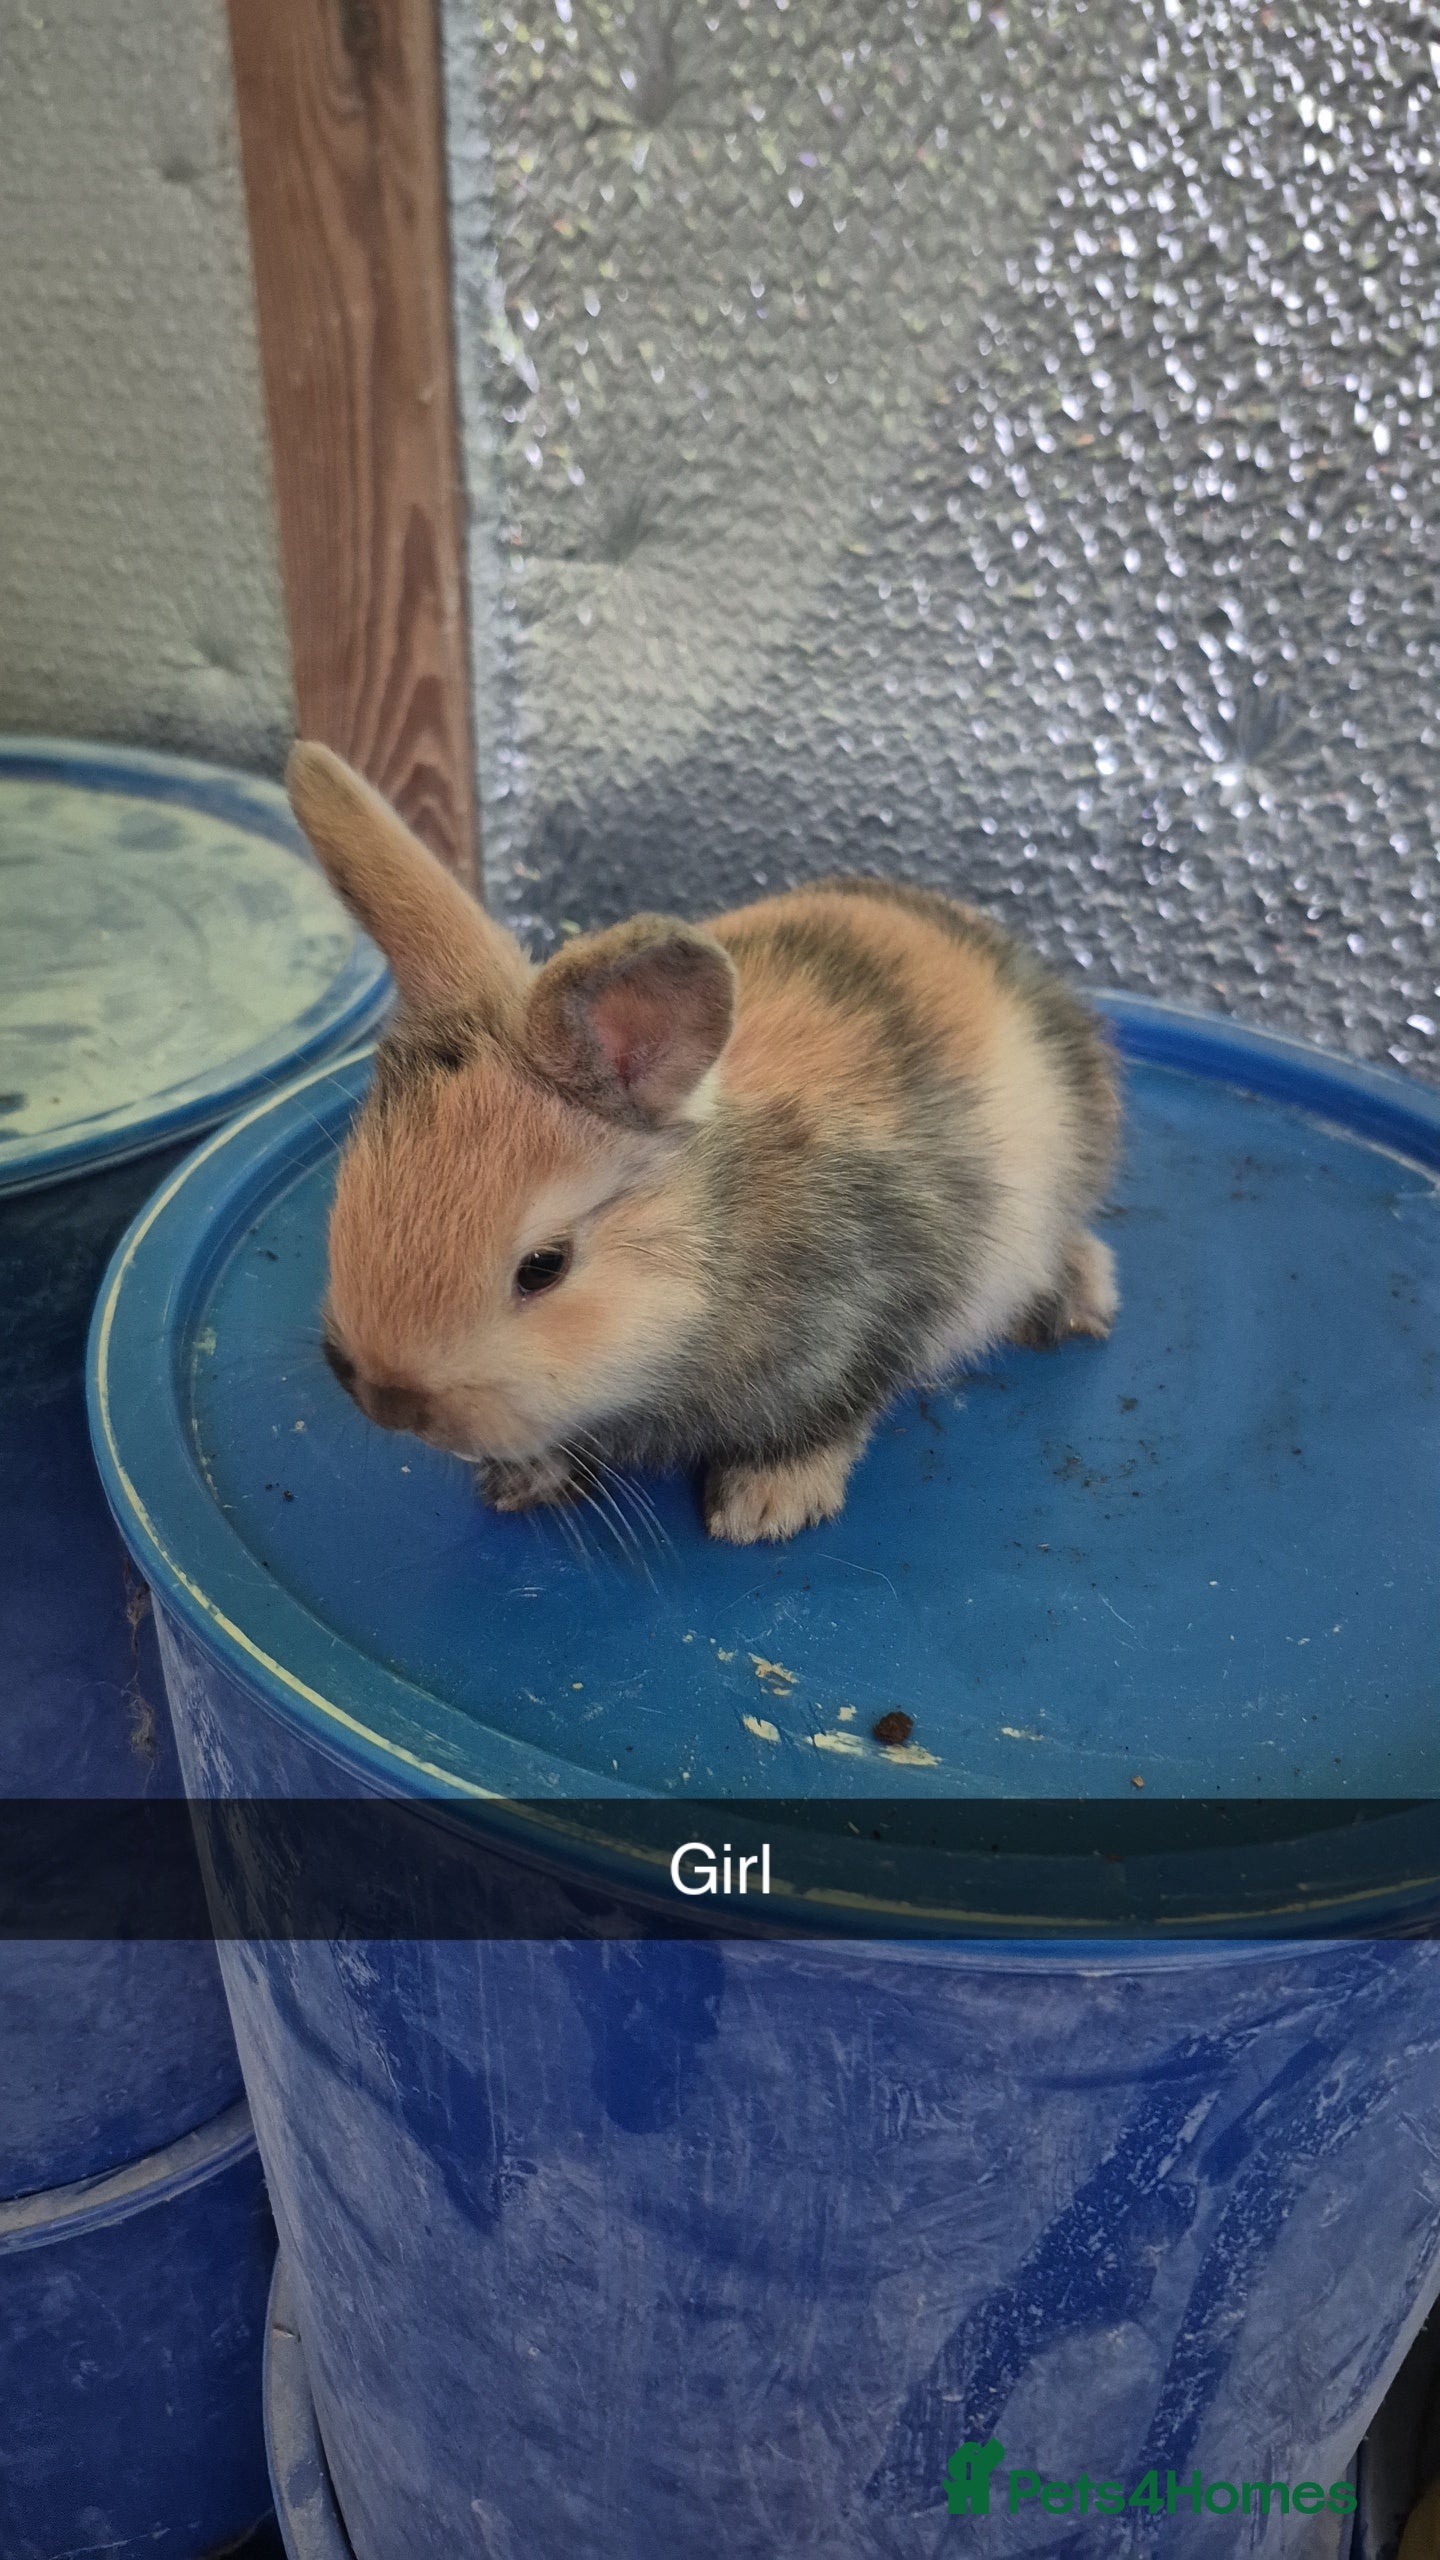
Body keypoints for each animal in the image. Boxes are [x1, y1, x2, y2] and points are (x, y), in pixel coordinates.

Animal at [286, 742, 1120, 1545]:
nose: (389, 1401)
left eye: (543, 1267)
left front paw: (766, 1506)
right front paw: (522, 1479)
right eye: (346, 1195)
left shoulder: (880, 1312)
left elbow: (826, 1420)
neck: (715, 1238)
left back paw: (1081, 1301)